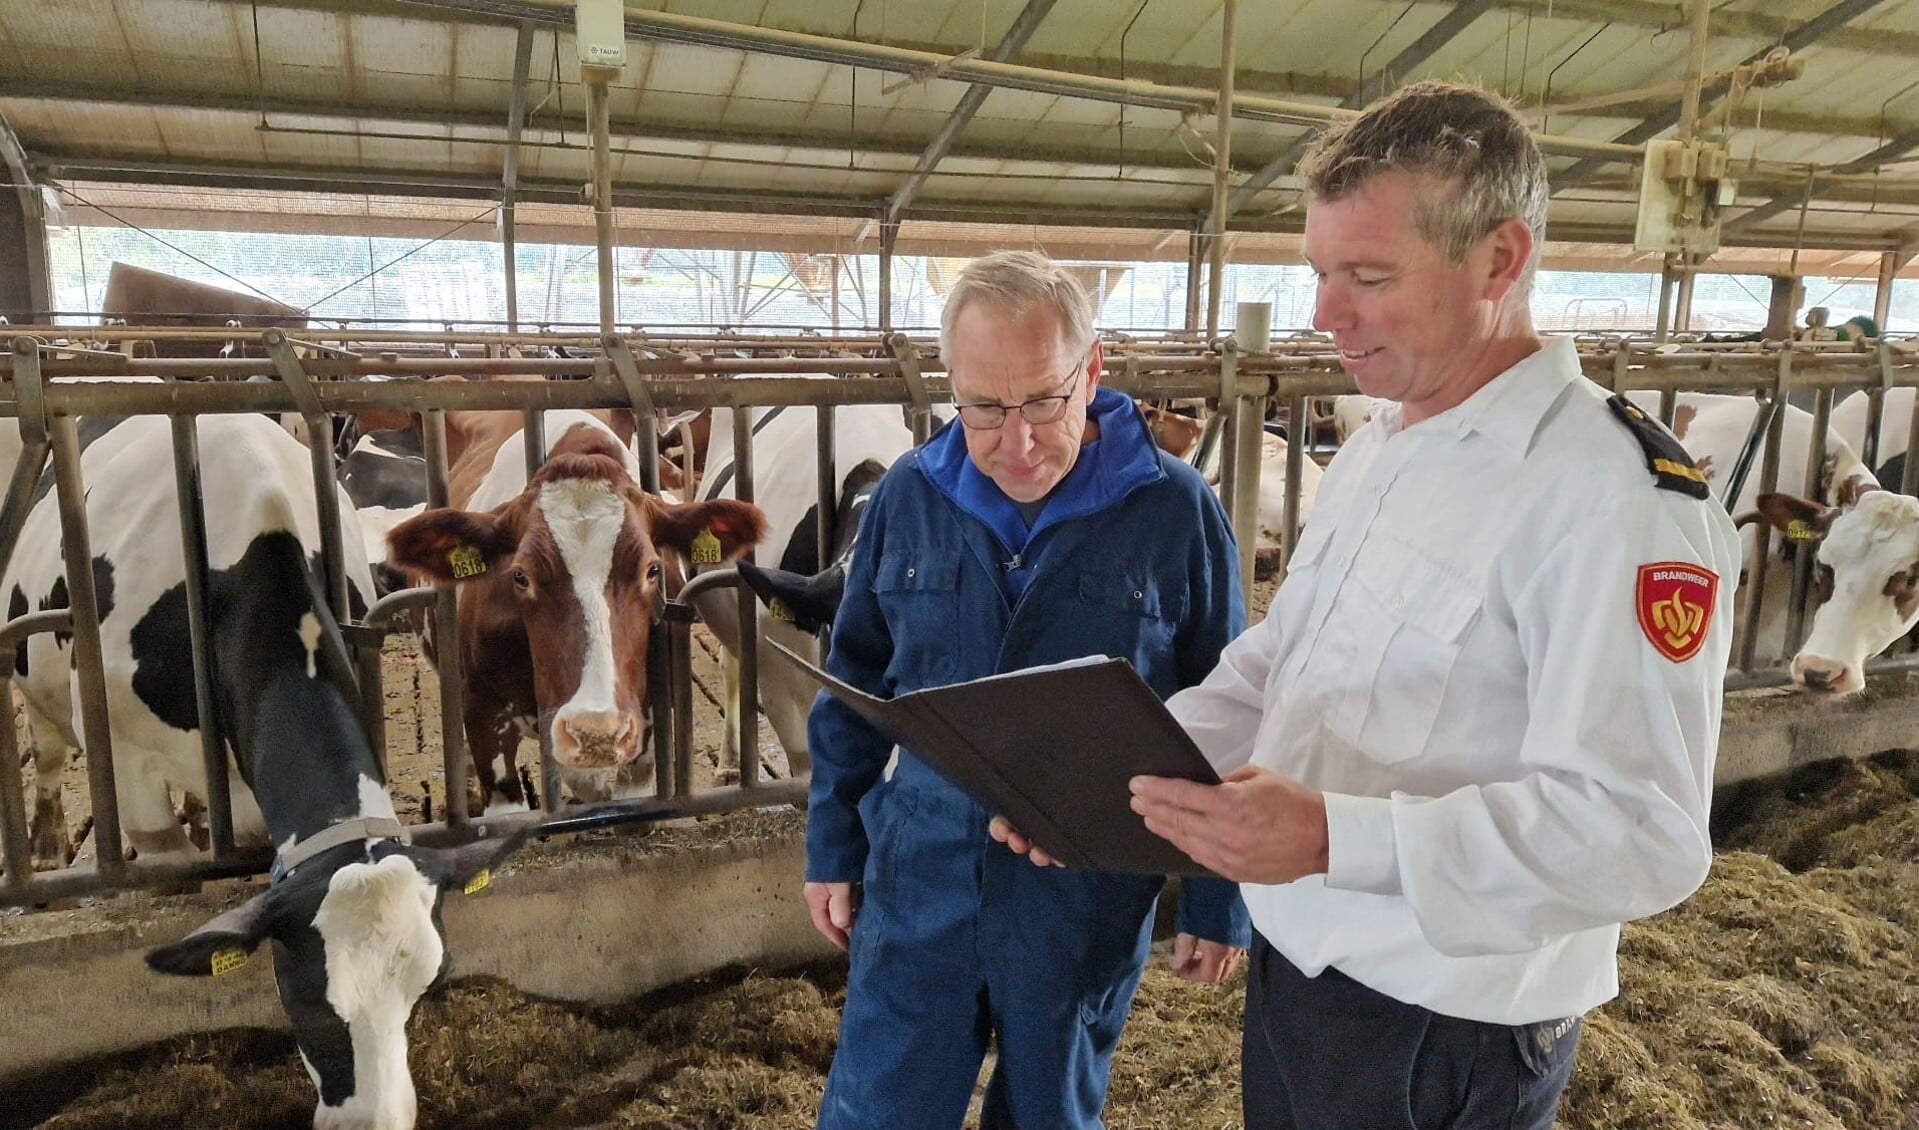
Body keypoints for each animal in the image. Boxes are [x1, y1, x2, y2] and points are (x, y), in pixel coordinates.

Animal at [5, 414, 525, 1128]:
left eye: (428, 989)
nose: (372, 1121)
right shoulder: (128, 756)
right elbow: (171, 866)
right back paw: (50, 851)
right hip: (40, 682)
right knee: (52, 757)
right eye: (305, 999)